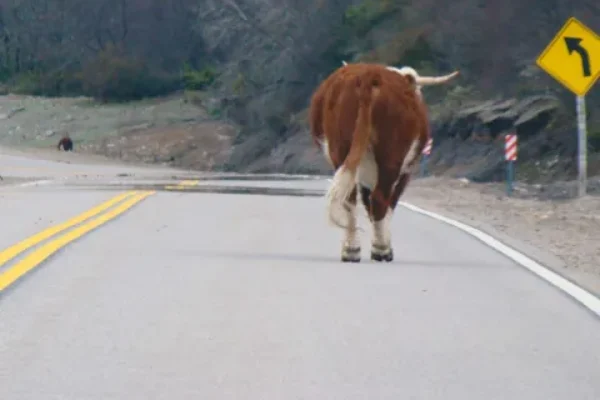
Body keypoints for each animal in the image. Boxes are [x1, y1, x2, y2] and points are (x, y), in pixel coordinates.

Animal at [310, 61, 460, 262]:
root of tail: (370, 74)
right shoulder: (406, 171)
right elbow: (389, 203)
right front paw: (384, 244)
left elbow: (367, 204)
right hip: (392, 155)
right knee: (381, 199)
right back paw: (381, 250)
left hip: (340, 148)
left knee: (349, 198)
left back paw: (351, 249)